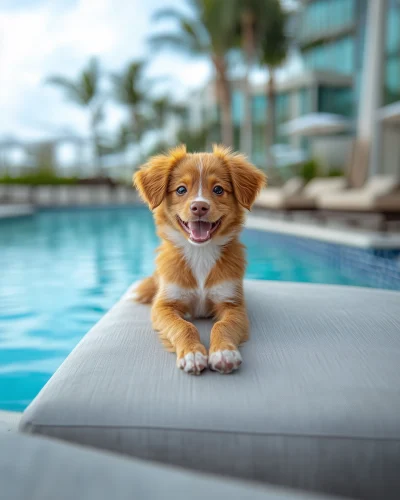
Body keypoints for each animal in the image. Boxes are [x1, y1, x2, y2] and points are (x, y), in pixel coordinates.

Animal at [133, 145, 268, 376]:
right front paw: (193, 354)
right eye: (180, 190)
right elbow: (184, 326)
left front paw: (224, 352)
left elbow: (222, 326)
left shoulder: (233, 305)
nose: (199, 207)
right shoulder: (164, 305)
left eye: (218, 190)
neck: (200, 253)